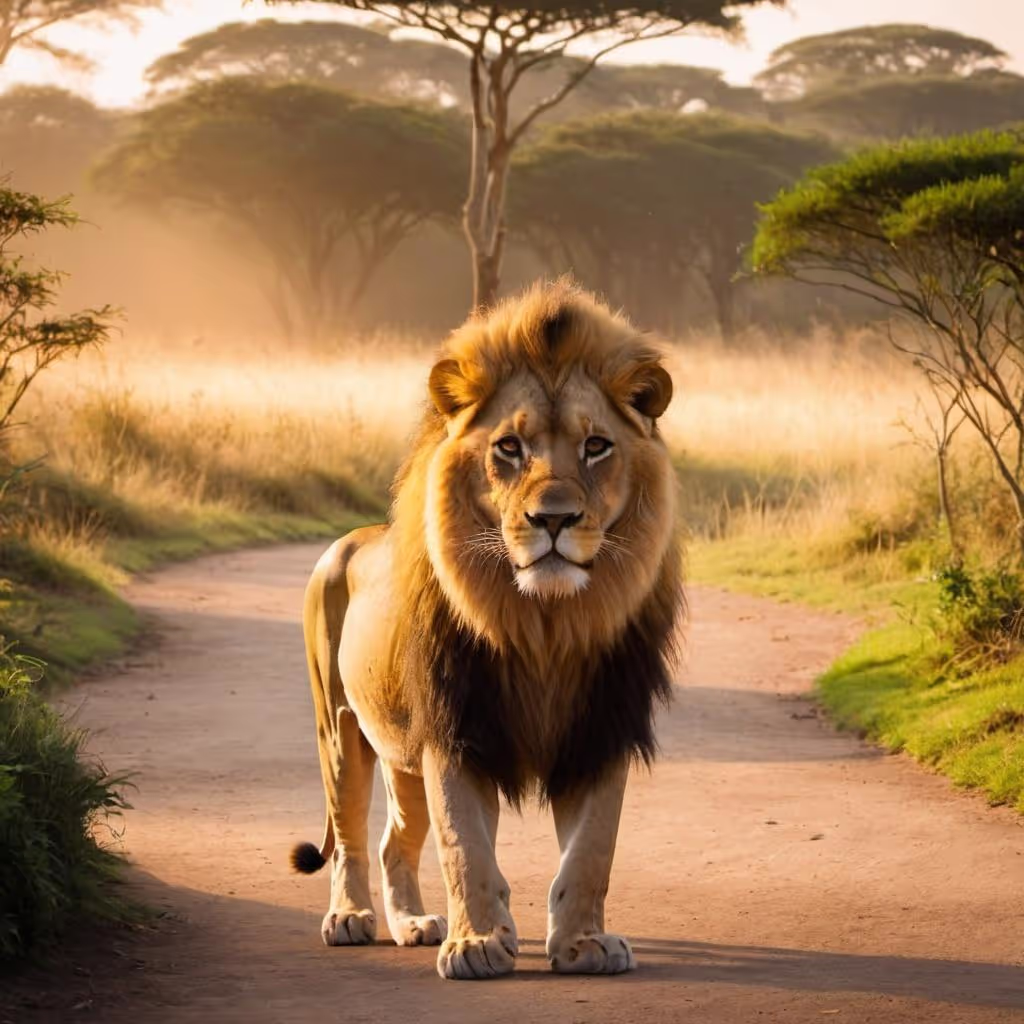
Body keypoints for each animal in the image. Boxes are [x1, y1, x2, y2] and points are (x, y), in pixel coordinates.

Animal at [291, 280, 682, 980]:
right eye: (509, 448)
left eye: (596, 446)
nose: (553, 519)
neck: (544, 626)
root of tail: (349, 539)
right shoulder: (455, 728)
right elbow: (464, 846)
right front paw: (475, 945)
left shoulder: (600, 728)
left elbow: (591, 852)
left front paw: (583, 943)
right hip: (339, 729)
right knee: (353, 836)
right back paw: (351, 918)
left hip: (401, 752)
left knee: (393, 841)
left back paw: (412, 923)